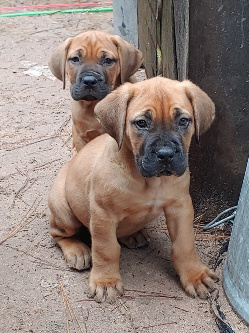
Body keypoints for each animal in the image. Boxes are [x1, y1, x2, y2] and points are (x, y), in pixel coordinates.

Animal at [48, 76, 216, 302]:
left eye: (183, 121)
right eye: (142, 123)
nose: (165, 154)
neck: (150, 181)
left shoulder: (180, 207)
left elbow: (185, 244)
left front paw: (195, 275)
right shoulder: (103, 214)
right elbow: (106, 249)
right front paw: (105, 281)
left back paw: (133, 235)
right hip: (64, 212)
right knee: (58, 233)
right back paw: (77, 250)